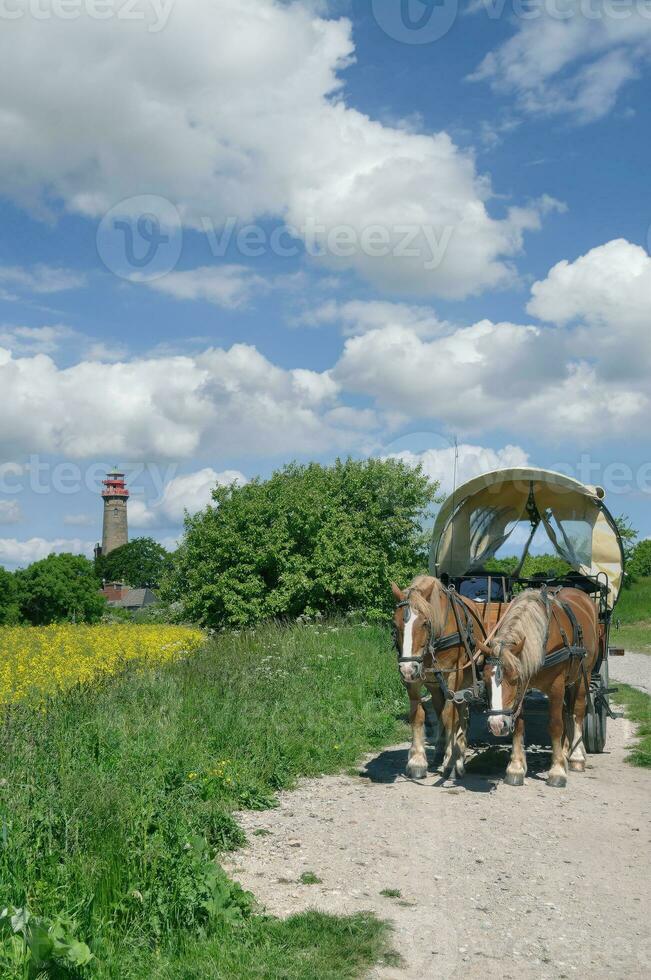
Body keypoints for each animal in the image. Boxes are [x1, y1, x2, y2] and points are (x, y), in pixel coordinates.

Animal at [478, 588, 600, 788]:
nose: (496, 725)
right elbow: (519, 725)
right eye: (485, 679)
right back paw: (565, 752)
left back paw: (576, 756)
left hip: (584, 675)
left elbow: (555, 725)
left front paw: (557, 771)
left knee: (577, 713)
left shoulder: (556, 685)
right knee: (567, 712)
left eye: (514, 679)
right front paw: (516, 768)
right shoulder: (525, 687)